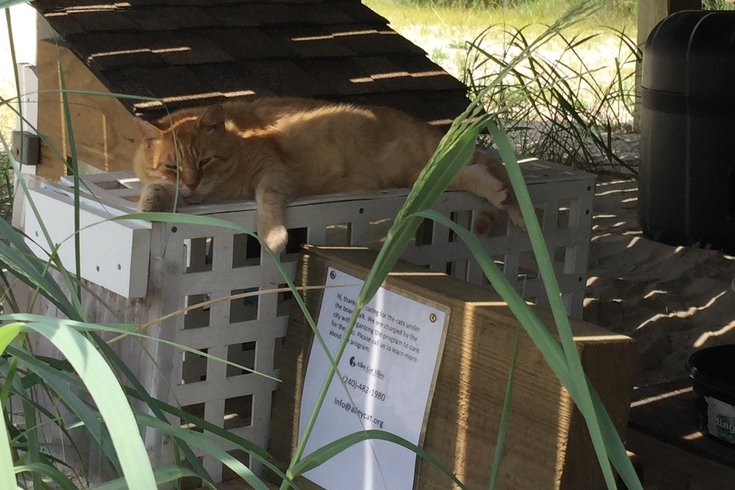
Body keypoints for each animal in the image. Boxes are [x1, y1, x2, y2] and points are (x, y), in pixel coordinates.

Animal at [134, 98, 524, 255]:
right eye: (173, 167)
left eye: (206, 161)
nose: (191, 183)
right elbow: (154, 191)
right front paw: (149, 203)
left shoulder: (274, 171)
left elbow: (266, 202)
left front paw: (272, 237)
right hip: (420, 176)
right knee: (475, 170)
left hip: (427, 165)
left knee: (484, 169)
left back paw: (508, 202)